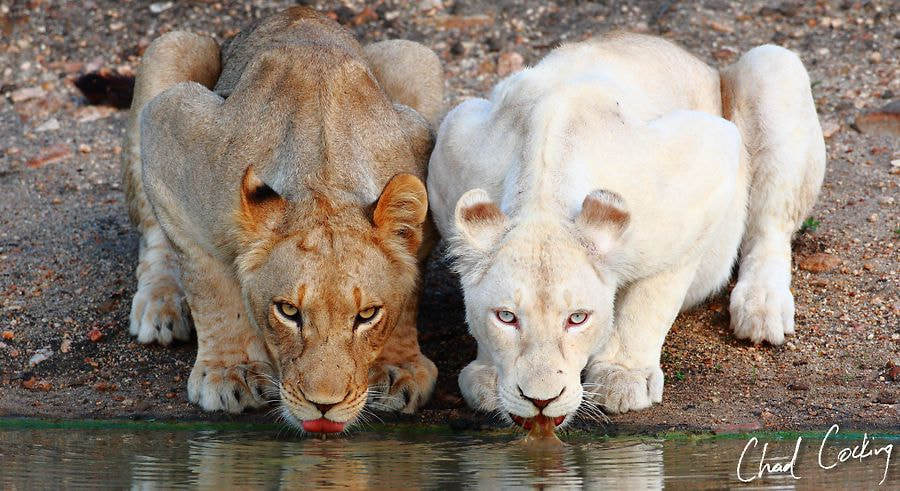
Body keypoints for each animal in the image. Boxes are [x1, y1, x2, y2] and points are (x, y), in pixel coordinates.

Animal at [122, 7, 443, 432]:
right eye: (288, 312)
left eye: (367, 315)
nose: (324, 405)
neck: (324, 177)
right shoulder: (170, 128)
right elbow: (209, 283)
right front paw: (232, 370)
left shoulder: (422, 151)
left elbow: (409, 291)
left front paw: (396, 367)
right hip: (172, 47)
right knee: (154, 236)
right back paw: (159, 306)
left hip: (415, 57)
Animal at [427, 33, 825, 430]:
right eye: (506, 317)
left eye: (577, 318)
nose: (541, 401)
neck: (543, 191)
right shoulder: (452, 143)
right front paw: (487, 374)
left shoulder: (708, 162)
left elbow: (652, 298)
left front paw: (622, 375)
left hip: (773, 66)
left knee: (770, 227)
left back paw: (762, 308)